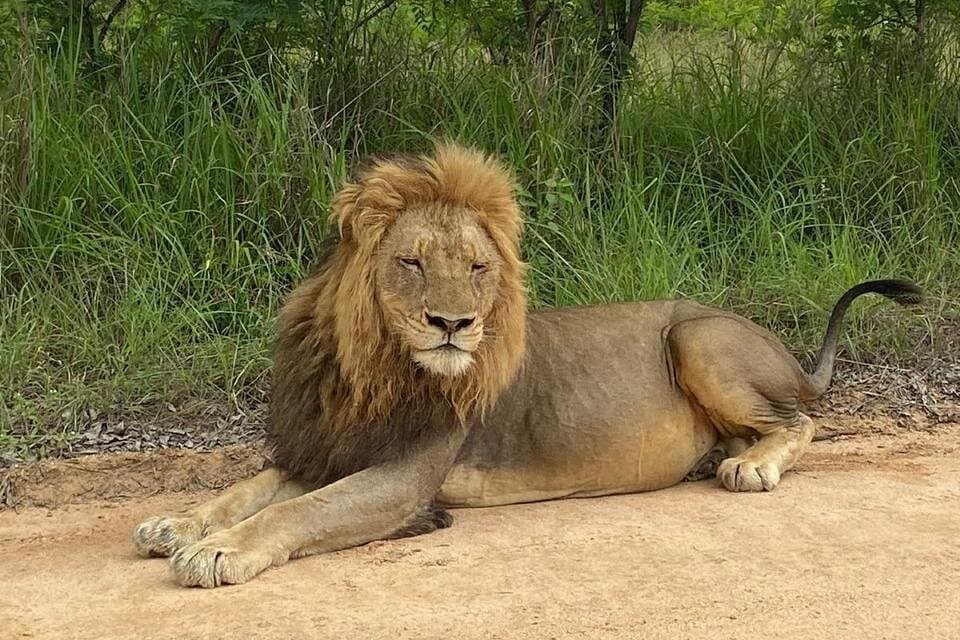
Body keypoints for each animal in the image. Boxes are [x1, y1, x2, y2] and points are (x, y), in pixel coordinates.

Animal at [133, 142, 922, 587]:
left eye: (478, 268)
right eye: (412, 263)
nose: (453, 324)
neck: (371, 366)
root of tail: (783, 349)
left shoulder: (403, 476)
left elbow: (297, 509)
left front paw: (218, 552)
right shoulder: (329, 446)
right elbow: (250, 487)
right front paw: (175, 524)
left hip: (694, 337)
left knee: (799, 421)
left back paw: (750, 466)